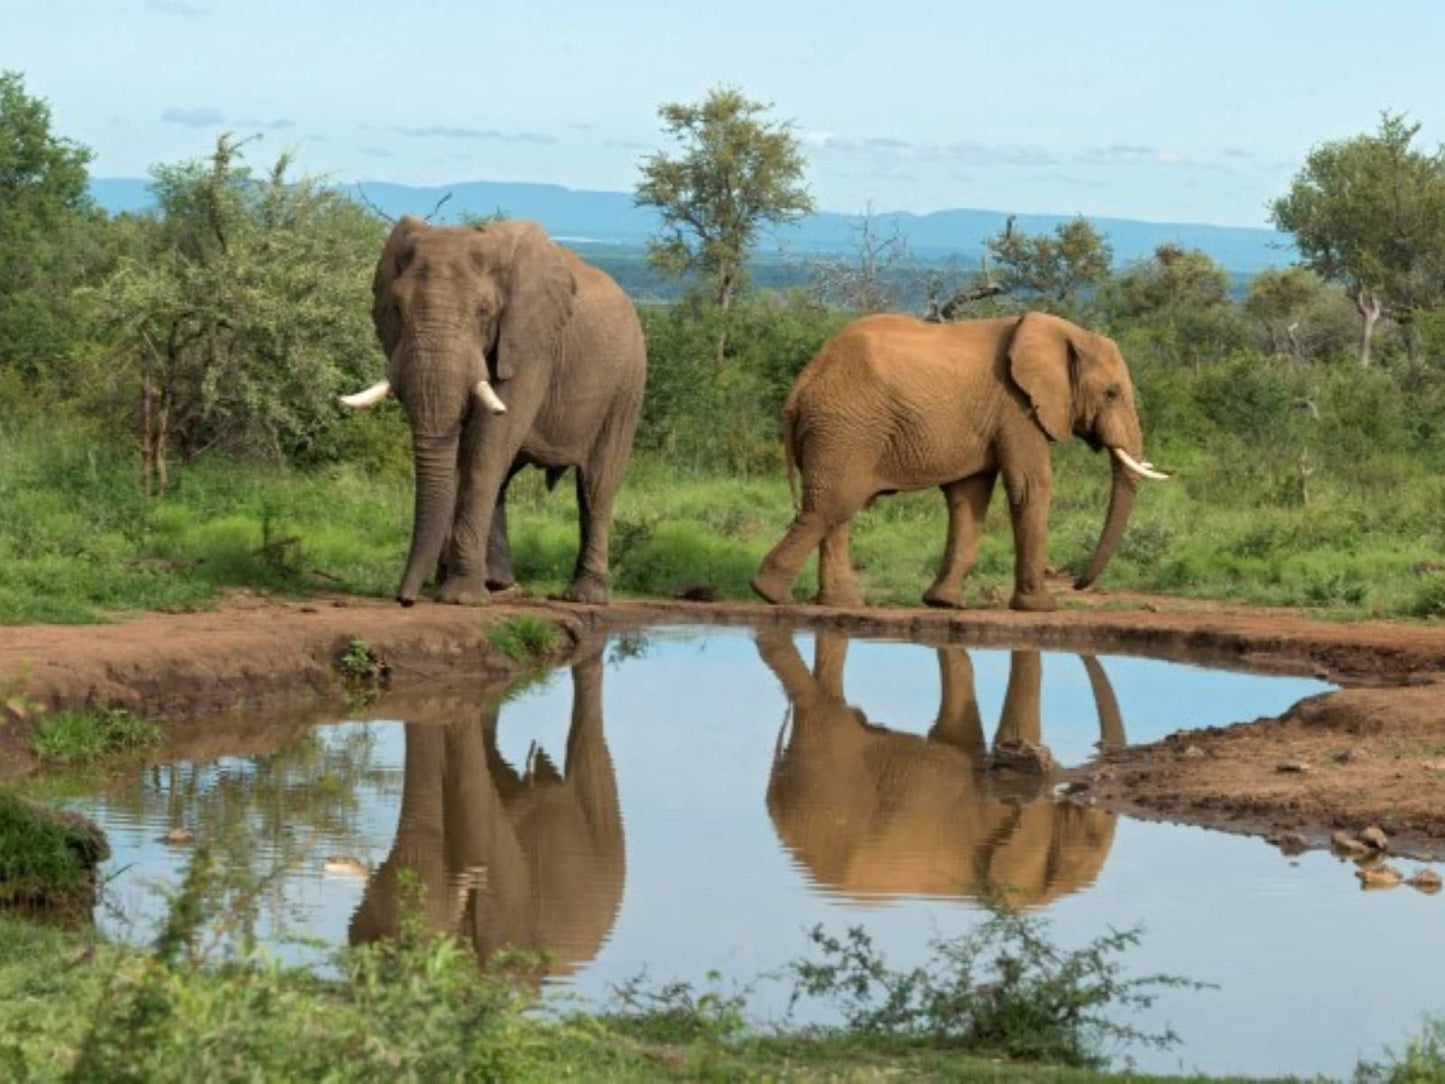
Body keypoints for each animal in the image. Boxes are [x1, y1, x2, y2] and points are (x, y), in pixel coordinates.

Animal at [338, 216, 644, 607]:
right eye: (397, 310)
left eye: (483, 312)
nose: (405, 599)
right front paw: (454, 586)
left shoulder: (529, 345)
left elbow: (487, 445)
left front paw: (460, 598)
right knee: (505, 477)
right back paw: (498, 583)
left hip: (627, 383)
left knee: (596, 485)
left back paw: (585, 597)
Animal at [751, 312, 1167, 612]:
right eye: (1111, 393)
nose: (1078, 583)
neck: (1064, 331)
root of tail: (802, 383)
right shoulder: (1016, 409)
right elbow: (1030, 486)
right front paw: (1040, 607)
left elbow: (969, 497)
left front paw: (943, 603)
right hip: (846, 428)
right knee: (832, 506)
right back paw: (771, 595)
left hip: (838, 432)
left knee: (835, 512)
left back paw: (842, 605)